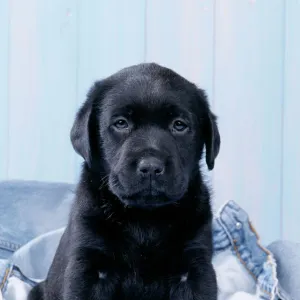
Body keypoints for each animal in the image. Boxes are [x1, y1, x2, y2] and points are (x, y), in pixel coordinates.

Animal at [28, 62, 220, 298]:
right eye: (121, 123)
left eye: (179, 125)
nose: (150, 167)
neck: (145, 220)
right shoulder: (88, 267)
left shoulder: (195, 268)